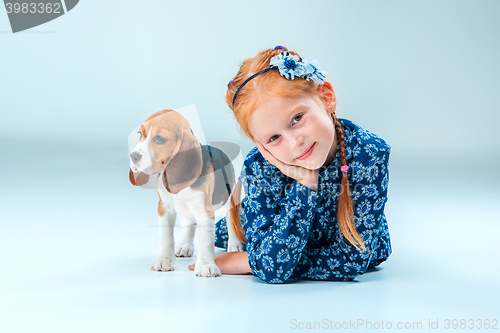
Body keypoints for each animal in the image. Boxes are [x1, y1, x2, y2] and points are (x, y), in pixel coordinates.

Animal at [129, 110, 244, 276]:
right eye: (139, 134)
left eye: (160, 138)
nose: (133, 156)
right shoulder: (164, 207)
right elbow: (166, 237)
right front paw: (164, 260)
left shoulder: (204, 210)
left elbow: (205, 241)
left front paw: (205, 265)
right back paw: (185, 245)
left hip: (230, 199)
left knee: (231, 219)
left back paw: (234, 245)